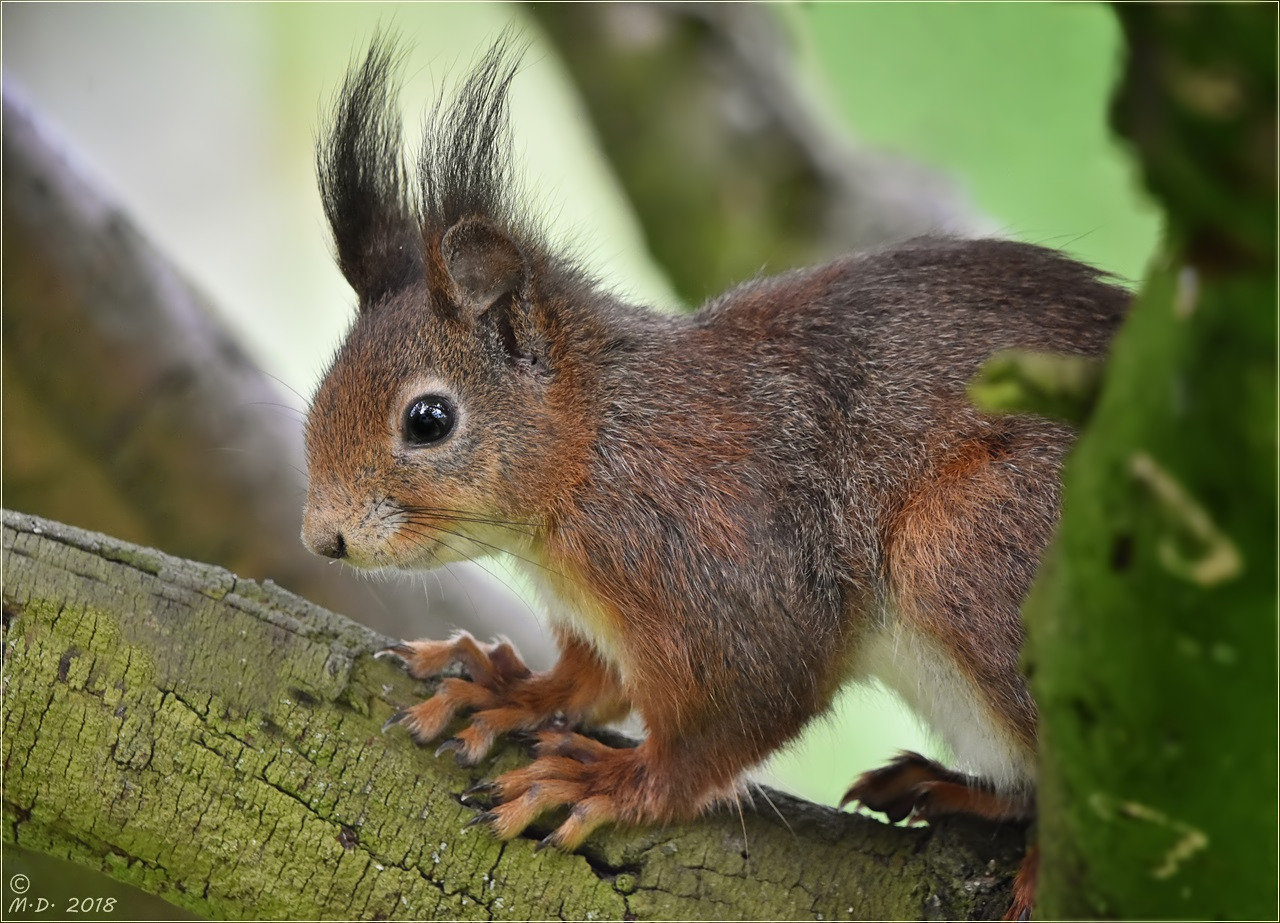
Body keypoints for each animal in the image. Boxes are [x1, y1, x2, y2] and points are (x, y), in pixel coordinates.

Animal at [302, 37, 1131, 901]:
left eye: (428, 420)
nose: (322, 538)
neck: (595, 448)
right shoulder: (604, 616)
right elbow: (590, 679)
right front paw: (506, 688)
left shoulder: (724, 555)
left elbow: (744, 701)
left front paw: (612, 783)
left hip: (975, 547)